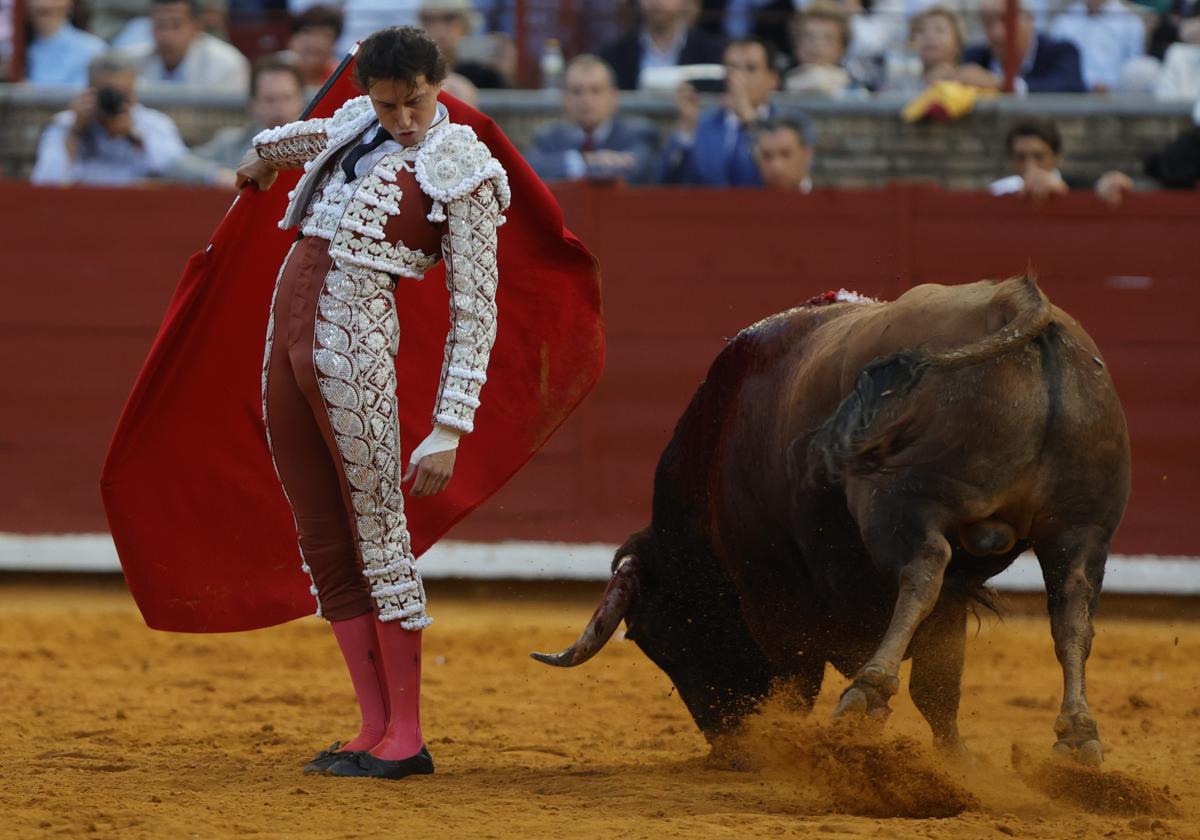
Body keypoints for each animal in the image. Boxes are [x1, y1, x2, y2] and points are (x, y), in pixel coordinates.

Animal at [535, 278, 1132, 763]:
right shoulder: (954, 597)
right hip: (1081, 527)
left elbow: (798, 675)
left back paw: (867, 693)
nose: (729, 745)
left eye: (660, 636)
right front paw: (957, 760)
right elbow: (939, 684)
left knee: (923, 569)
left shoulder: (769, 584)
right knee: (1072, 609)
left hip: (898, 507)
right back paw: (1078, 737)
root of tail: (1017, 299)